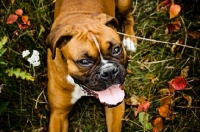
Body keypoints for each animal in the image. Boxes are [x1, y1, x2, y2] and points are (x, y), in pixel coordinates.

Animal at [46, 0, 137, 131]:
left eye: (116, 49)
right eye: (84, 61)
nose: (109, 71)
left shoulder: (115, 106)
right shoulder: (58, 114)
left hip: (123, 5)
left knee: (129, 17)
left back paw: (130, 39)